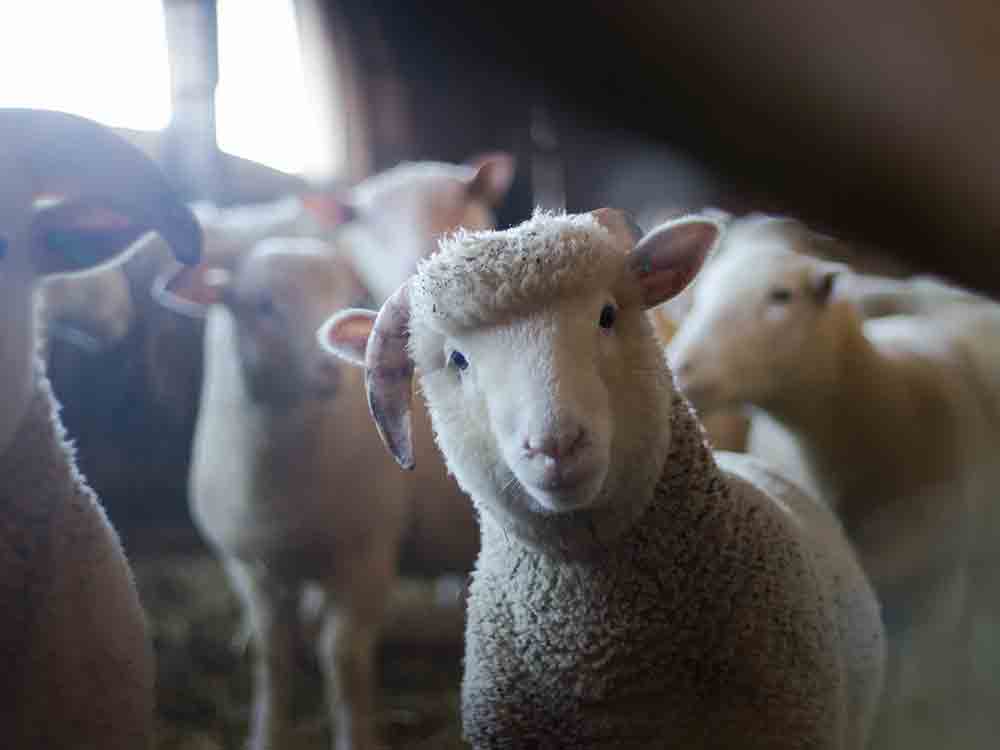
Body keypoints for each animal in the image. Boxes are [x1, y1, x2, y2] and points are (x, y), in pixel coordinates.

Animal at [155, 236, 479, 750]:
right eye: (264, 305)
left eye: (347, 293)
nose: (330, 370)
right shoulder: (250, 568)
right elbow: (272, 655)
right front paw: (265, 735)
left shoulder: (368, 556)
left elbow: (342, 657)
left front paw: (356, 738)